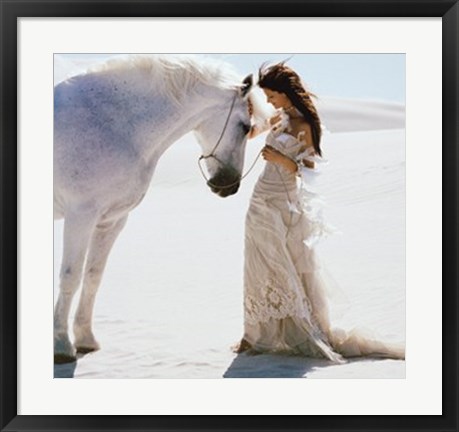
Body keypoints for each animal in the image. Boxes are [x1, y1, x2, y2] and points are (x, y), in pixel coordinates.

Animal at [54, 54, 255, 364]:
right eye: (246, 127)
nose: (228, 186)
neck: (113, 124)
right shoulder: (80, 216)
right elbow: (70, 277)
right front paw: (62, 345)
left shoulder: (111, 221)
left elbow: (93, 277)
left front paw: (86, 339)